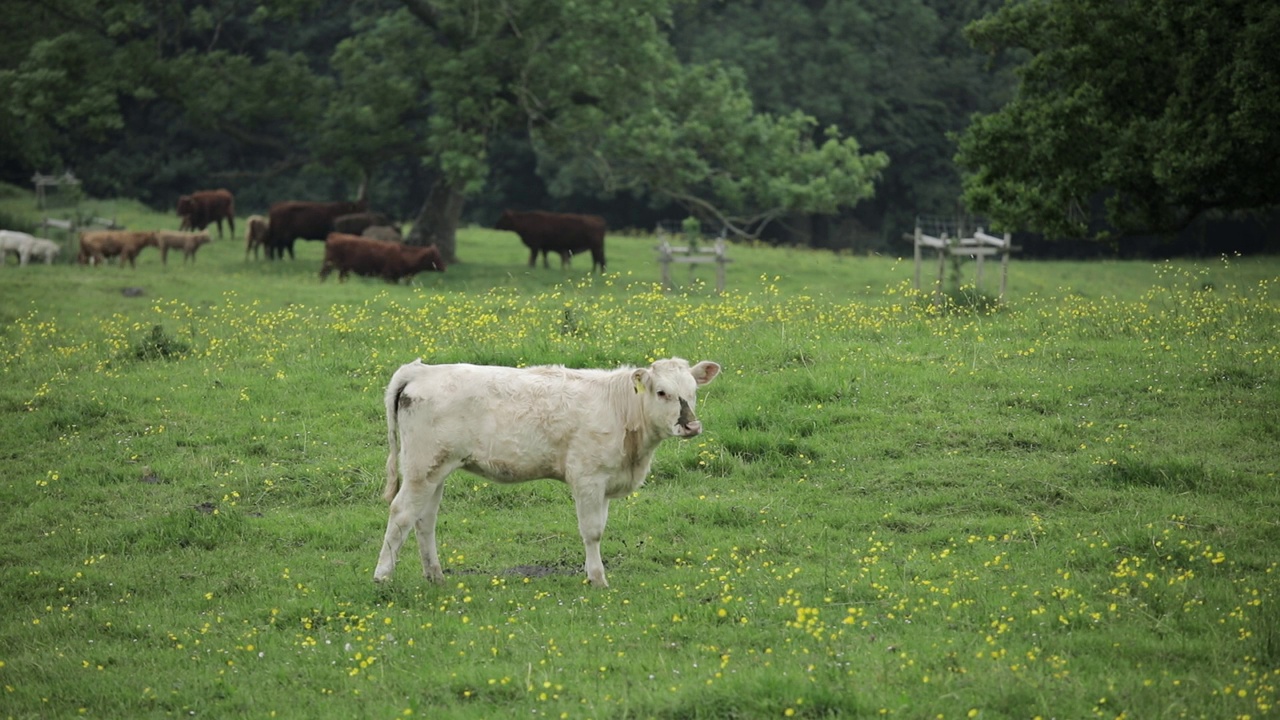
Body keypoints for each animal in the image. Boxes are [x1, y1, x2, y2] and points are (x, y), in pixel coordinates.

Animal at [373, 353, 727, 584]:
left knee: (424, 520)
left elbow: (600, 527)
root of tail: (421, 371)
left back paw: (435, 575)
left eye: (693, 391)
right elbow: (592, 531)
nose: (691, 425)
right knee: (402, 513)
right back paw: (382, 576)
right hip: (422, 467)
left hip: (436, 470)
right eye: (662, 392)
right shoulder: (587, 477)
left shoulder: (605, 482)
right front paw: (597, 579)